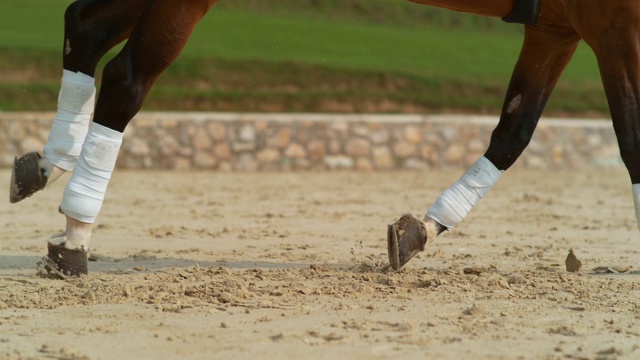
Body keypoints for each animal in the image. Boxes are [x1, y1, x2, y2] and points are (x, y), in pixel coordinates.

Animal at [7, 0, 640, 276]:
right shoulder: (616, 23)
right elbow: (632, 144)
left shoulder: (558, 25)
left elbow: (514, 131)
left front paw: (418, 232)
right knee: (125, 78)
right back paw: (76, 233)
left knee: (85, 27)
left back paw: (47, 166)